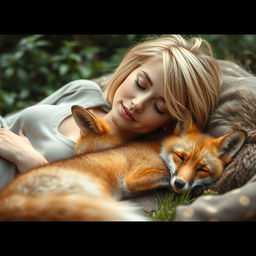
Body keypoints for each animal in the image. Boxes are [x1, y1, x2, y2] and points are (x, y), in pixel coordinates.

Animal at [0, 105, 246, 221]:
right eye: (181, 157)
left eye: (202, 168)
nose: (180, 184)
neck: (158, 150)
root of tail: (8, 197)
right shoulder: (134, 178)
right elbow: (165, 177)